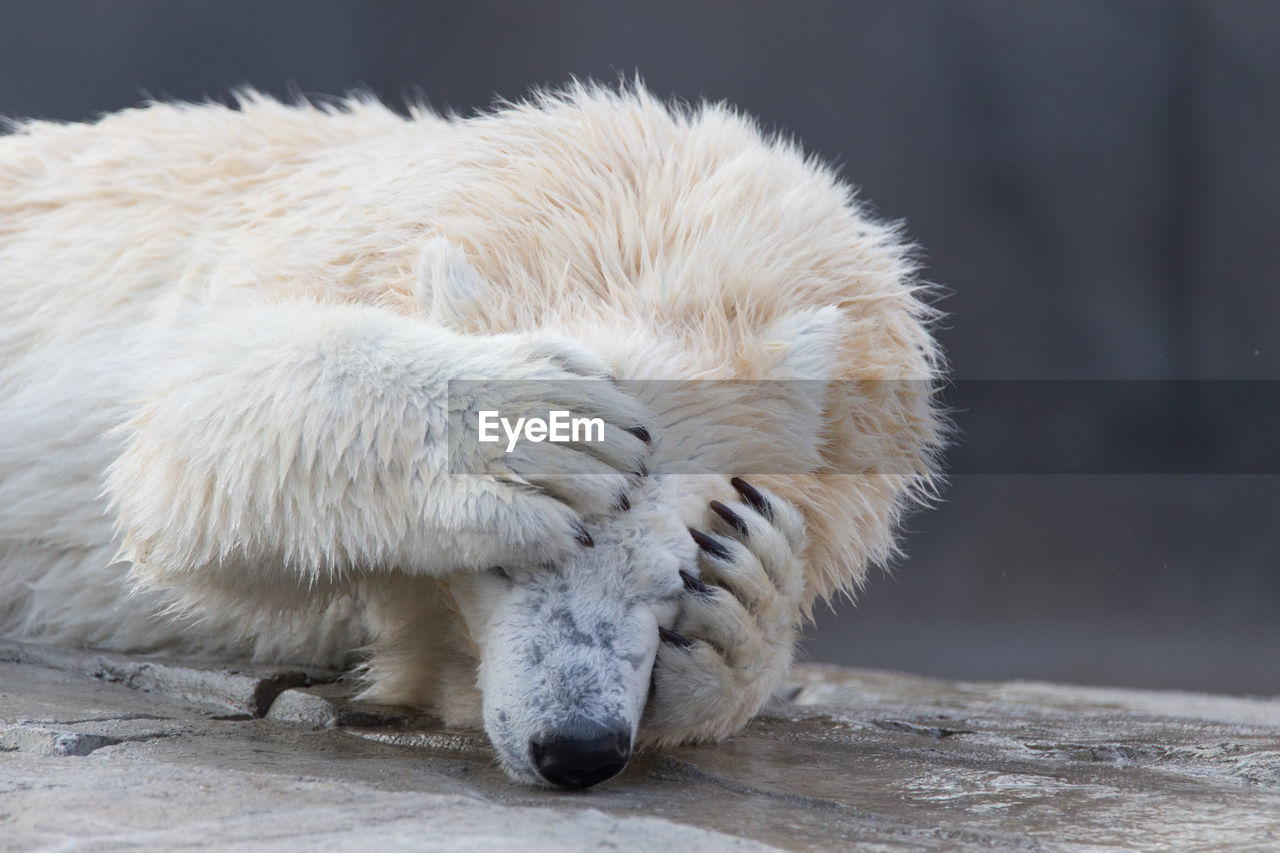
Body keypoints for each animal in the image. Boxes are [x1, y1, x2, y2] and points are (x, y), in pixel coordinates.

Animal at [0, 83, 942, 788]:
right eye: (501, 563)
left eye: (676, 575)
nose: (575, 749)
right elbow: (182, 441)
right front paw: (538, 432)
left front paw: (737, 608)